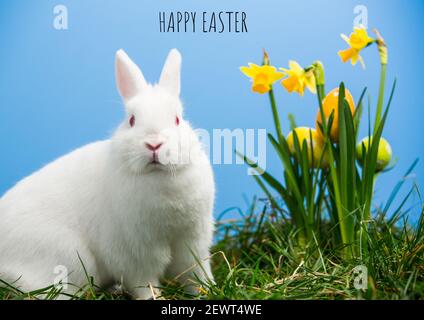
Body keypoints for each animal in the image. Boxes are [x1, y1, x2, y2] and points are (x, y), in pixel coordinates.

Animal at [0, 48, 215, 298]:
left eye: (177, 119)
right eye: (132, 120)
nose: (154, 144)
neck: (159, 177)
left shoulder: (192, 240)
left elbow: (194, 273)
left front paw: (207, 291)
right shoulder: (134, 254)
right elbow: (145, 282)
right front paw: (154, 297)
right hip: (69, 257)